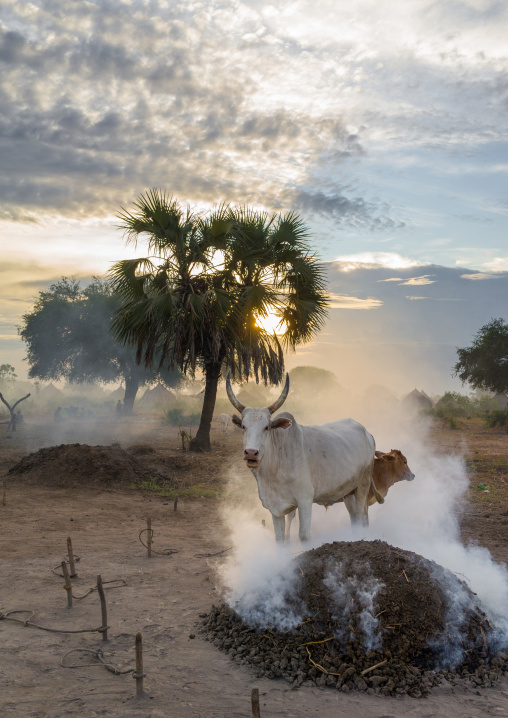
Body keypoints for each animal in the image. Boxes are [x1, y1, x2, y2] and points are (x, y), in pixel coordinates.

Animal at [226, 371, 381, 543]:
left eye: (266, 427)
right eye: (243, 426)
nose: (251, 453)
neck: (275, 467)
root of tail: (367, 433)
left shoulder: (305, 501)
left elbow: (304, 536)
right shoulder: (275, 508)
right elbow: (280, 539)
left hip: (363, 485)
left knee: (361, 517)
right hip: (348, 491)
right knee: (355, 517)